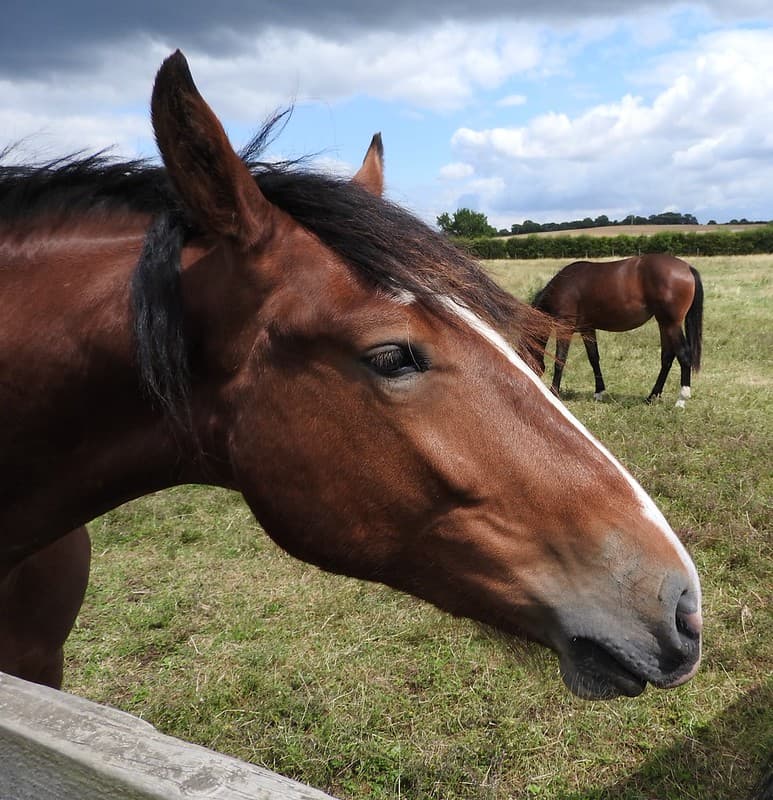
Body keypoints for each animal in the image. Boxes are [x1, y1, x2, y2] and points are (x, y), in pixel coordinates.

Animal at [528, 255, 704, 406]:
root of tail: (687, 268)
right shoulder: (587, 329)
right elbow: (593, 358)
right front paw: (599, 392)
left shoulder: (565, 327)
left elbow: (560, 359)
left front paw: (553, 392)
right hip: (664, 324)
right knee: (667, 357)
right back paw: (652, 397)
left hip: (671, 324)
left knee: (684, 355)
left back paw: (681, 399)